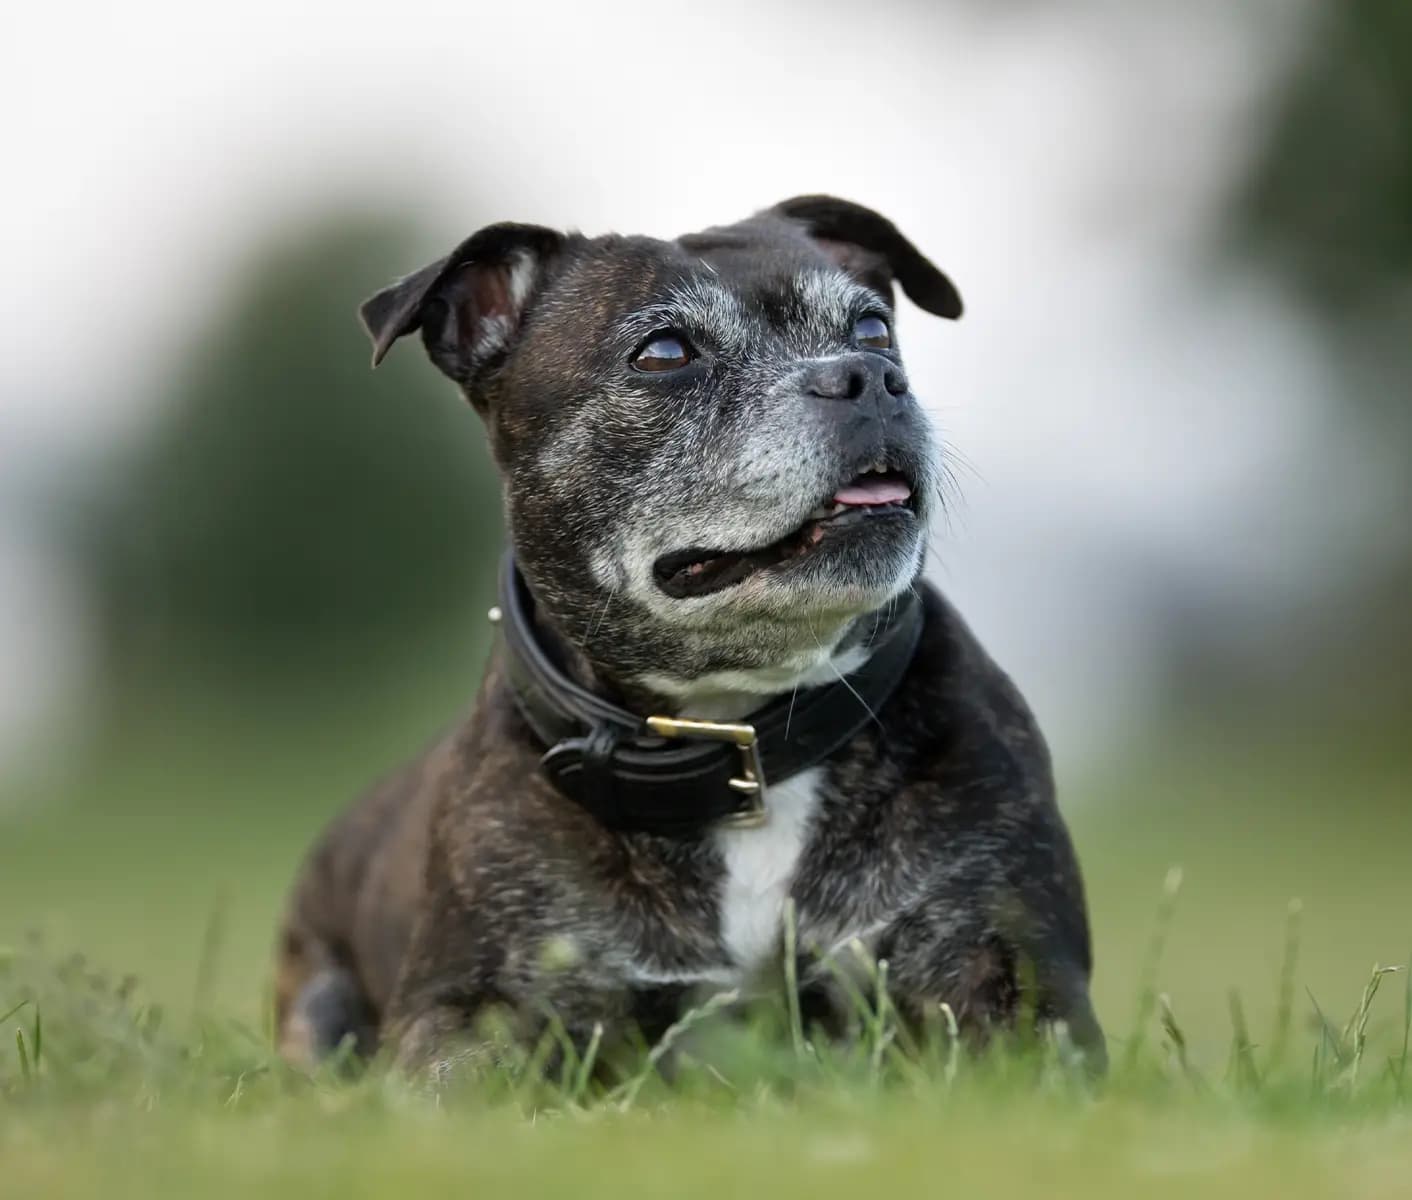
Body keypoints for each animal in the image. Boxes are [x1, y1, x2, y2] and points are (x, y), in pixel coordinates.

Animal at [272, 192, 1101, 1072]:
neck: (737, 731)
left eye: (872, 328)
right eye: (665, 352)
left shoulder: (1011, 970)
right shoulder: (462, 1009)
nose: (870, 376)